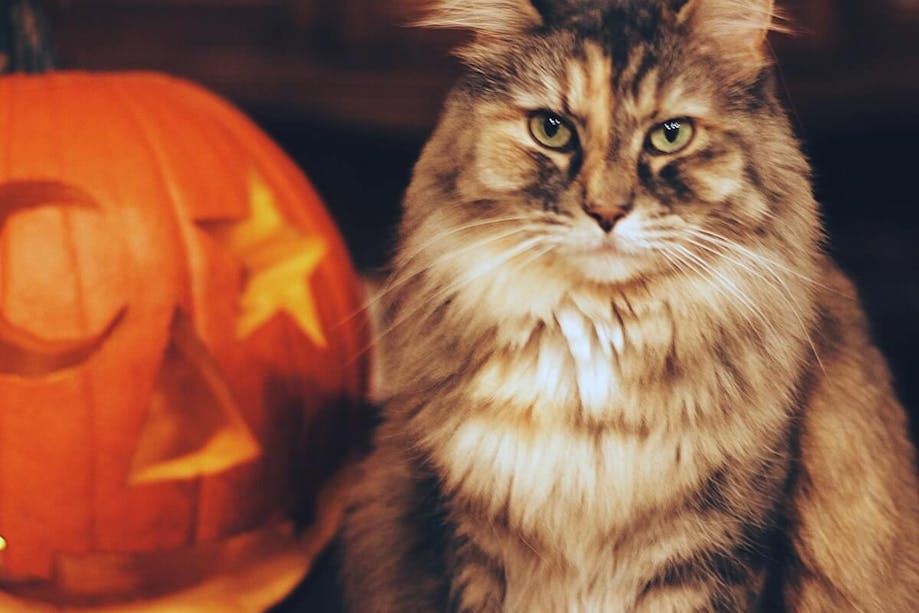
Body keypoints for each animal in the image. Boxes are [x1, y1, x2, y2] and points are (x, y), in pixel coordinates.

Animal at [340, 1, 919, 608]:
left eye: (670, 135)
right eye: (551, 130)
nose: (606, 211)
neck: (594, 339)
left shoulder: (715, 551)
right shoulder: (471, 545)